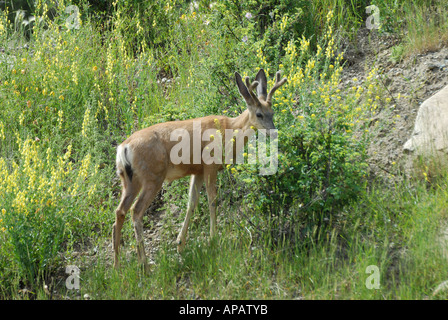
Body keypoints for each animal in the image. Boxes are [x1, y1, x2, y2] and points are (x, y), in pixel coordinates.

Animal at [112, 67, 288, 270]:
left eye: (272, 112)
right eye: (259, 114)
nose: (274, 133)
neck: (230, 129)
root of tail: (123, 148)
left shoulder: (197, 171)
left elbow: (192, 202)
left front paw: (180, 244)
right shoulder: (210, 164)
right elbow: (212, 199)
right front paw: (213, 238)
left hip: (129, 180)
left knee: (120, 211)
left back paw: (117, 265)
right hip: (152, 177)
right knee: (136, 211)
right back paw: (145, 264)